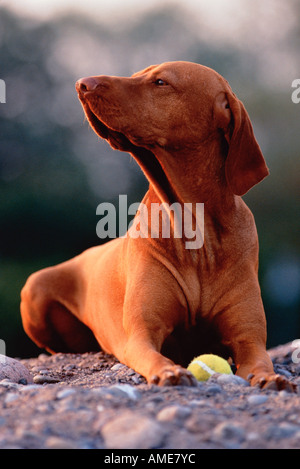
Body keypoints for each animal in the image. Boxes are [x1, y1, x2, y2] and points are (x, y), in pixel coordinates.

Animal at [20, 62, 296, 392]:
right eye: (137, 75)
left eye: (161, 82)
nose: (82, 84)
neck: (196, 231)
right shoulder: (142, 335)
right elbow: (153, 355)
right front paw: (169, 372)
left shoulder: (249, 340)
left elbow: (260, 360)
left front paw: (272, 378)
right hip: (34, 287)